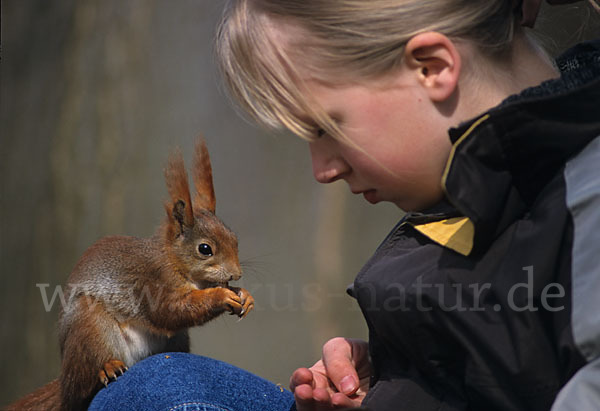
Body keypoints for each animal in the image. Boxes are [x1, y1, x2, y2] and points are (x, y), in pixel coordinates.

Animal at [8, 139, 254, 411]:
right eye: (205, 249)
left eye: (234, 239)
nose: (236, 274)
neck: (177, 264)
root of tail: (64, 383)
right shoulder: (152, 280)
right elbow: (169, 310)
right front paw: (221, 296)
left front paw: (244, 295)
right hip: (89, 326)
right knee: (85, 379)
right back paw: (107, 367)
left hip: (176, 340)